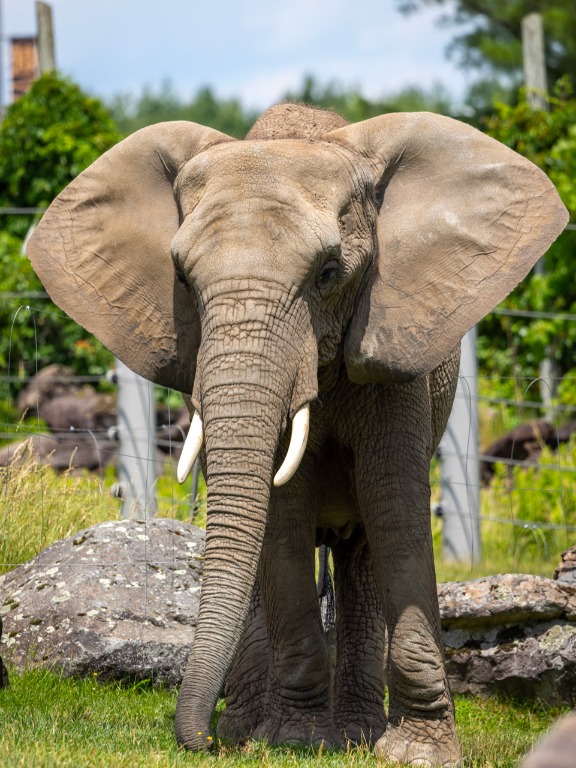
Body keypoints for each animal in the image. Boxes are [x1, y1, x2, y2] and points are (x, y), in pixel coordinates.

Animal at [27, 103, 567, 764]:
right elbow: (282, 518)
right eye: (181, 278)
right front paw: (295, 742)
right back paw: (256, 727)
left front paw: (418, 754)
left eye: (329, 273)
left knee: (362, 549)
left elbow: (396, 510)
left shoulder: (391, 339)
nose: (201, 743)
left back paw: (354, 733)